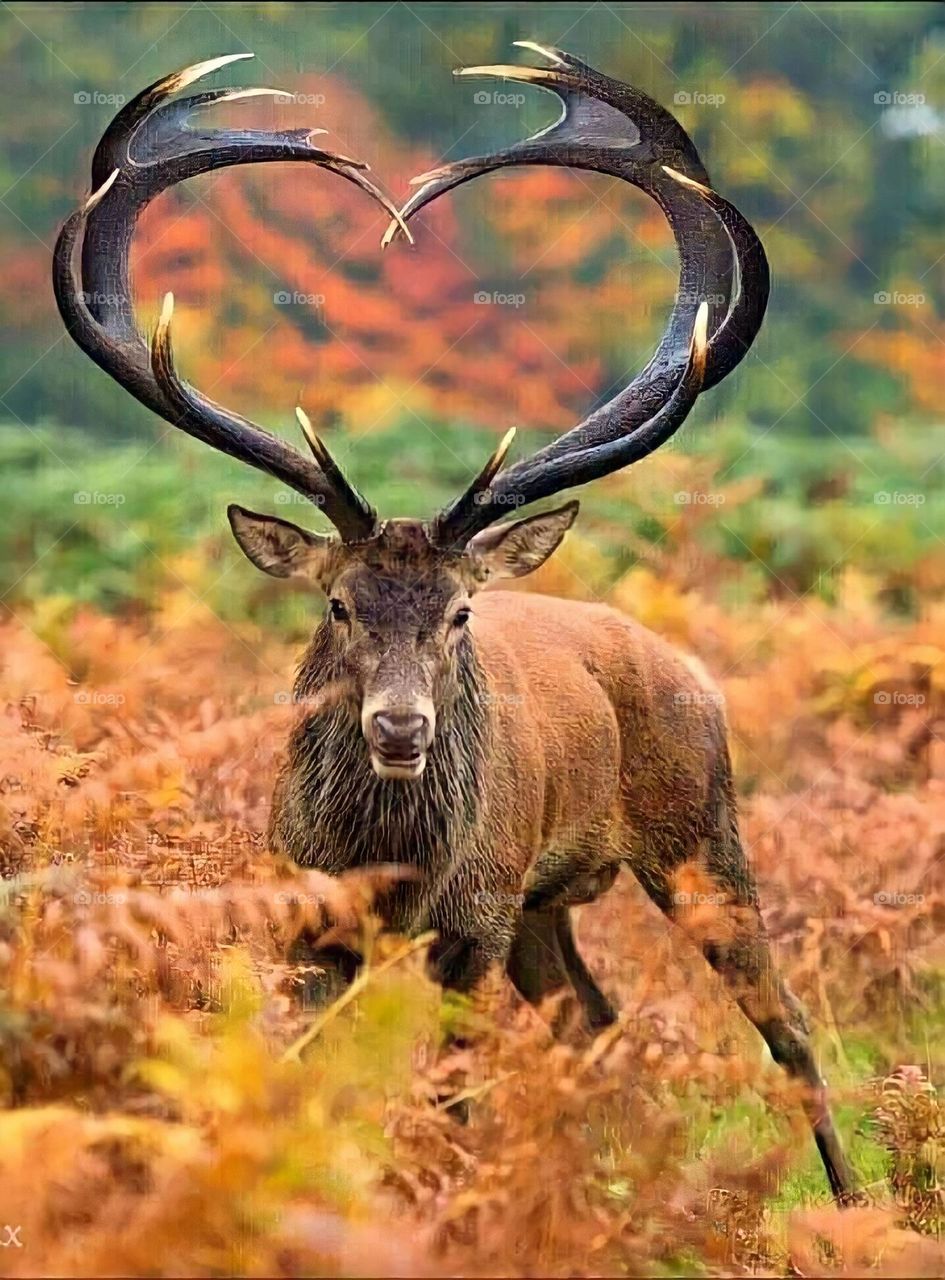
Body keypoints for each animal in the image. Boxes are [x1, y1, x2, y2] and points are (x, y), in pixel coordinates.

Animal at [53, 47, 856, 1203]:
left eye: (462, 610)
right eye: (337, 603)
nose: (401, 727)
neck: (388, 862)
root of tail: (688, 669)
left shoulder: (472, 916)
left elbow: (454, 1094)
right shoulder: (306, 914)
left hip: (698, 831)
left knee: (783, 1022)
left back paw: (853, 1204)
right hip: (548, 902)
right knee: (593, 1020)